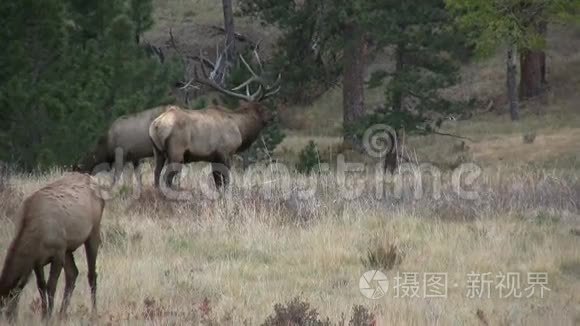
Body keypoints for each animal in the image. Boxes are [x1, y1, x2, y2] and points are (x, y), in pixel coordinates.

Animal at [0, 173, 105, 320]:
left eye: (5, 307)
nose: (10, 320)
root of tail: (93, 179)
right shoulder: (37, 261)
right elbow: (41, 286)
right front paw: (44, 315)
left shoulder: (58, 252)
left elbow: (51, 286)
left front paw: (48, 316)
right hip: (67, 247)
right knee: (73, 273)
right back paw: (62, 313)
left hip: (93, 231)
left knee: (91, 274)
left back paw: (93, 313)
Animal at [150, 49, 280, 190]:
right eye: (262, 108)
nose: (273, 115)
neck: (240, 128)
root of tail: (156, 125)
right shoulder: (225, 152)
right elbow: (226, 180)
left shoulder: (214, 157)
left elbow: (217, 182)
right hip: (176, 151)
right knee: (167, 178)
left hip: (158, 152)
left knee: (156, 174)